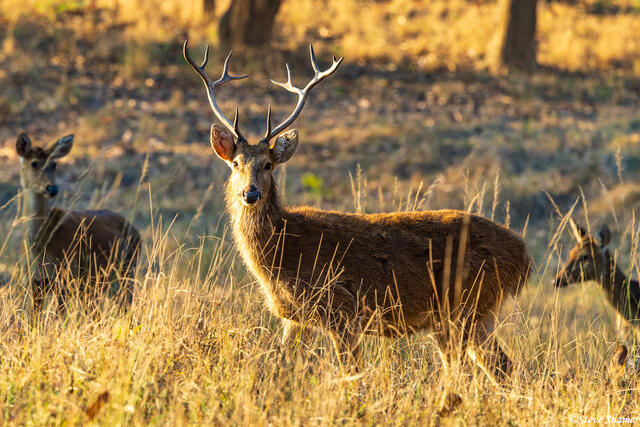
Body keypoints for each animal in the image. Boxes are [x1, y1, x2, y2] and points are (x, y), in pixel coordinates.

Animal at [15, 133, 141, 310]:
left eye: (54, 164)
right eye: (34, 163)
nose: (52, 188)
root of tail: (137, 232)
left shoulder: (64, 280)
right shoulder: (34, 284)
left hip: (127, 271)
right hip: (96, 285)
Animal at [183, 41, 531, 378]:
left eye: (268, 165)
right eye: (235, 163)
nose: (250, 193)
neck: (283, 254)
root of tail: (524, 257)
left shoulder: (341, 308)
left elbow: (351, 371)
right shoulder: (295, 317)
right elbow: (280, 365)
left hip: (461, 306)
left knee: (467, 368)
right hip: (475, 313)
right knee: (503, 366)